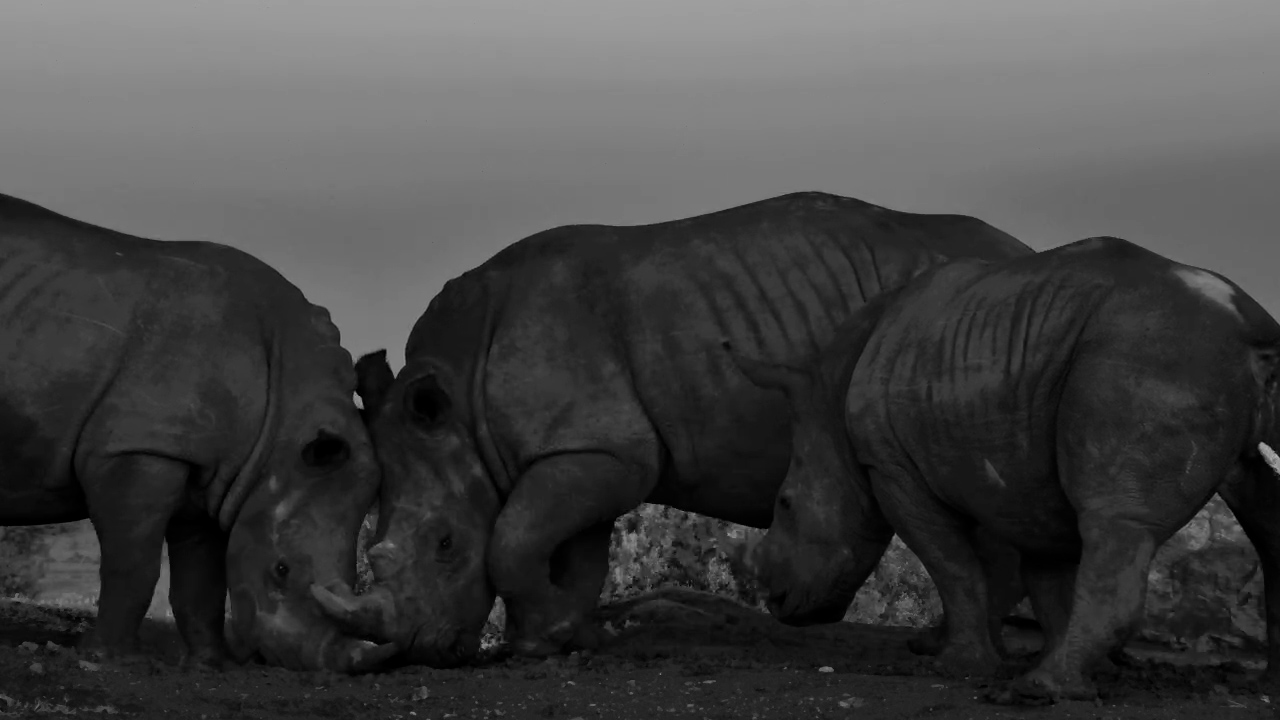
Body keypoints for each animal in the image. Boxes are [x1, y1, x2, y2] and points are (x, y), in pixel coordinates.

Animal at [0, 193, 395, 672]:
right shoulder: (141, 447)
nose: (306, 663)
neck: (282, 424)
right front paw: (107, 657)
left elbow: (202, 577)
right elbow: (134, 562)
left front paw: (210, 664)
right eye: (281, 571)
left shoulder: (214, 467)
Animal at [321, 191, 1033, 667]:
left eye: (444, 545)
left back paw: (955, 647)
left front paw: (545, 639)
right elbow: (575, 551)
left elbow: (515, 539)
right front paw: (561, 639)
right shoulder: (590, 448)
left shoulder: (595, 448)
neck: (460, 400)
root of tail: (1024, 252)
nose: (423, 649)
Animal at [728, 236, 1280, 703]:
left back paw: (1035, 690)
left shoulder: (892, 466)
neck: (829, 397)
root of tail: (1251, 323)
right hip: (1167, 358)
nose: (774, 600)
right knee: (1258, 515)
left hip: (1153, 355)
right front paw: (1058, 662)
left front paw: (959, 667)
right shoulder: (1016, 460)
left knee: (1115, 521)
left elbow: (955, 566)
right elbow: (1042, 575)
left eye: (785, 504)